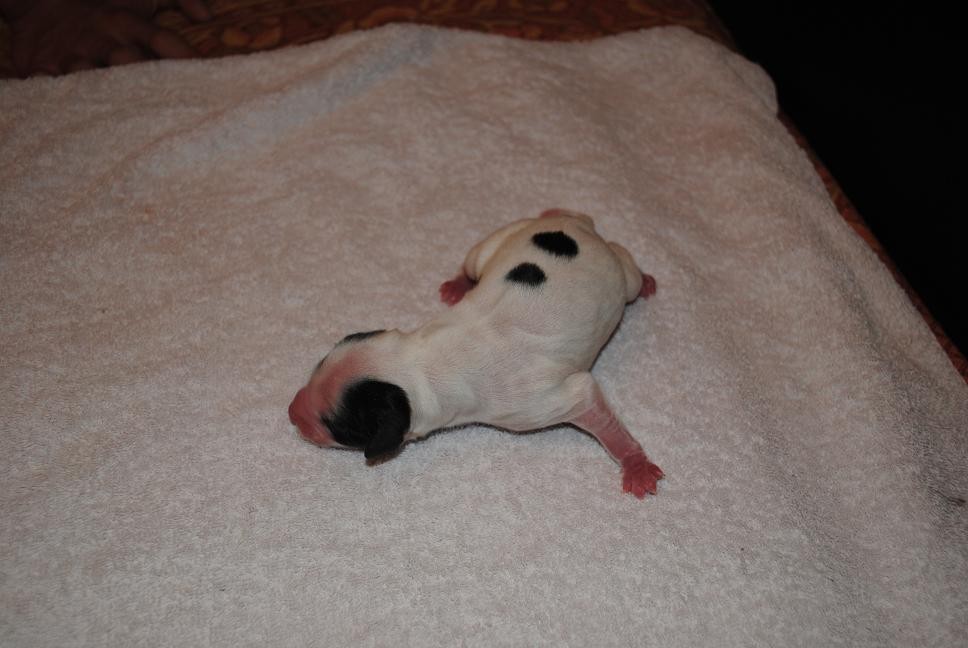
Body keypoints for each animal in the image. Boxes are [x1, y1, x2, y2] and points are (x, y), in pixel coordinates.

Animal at [288, 208, 662, 497]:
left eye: (338, 427)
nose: (291, 412)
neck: (423, 361)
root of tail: (582, 227)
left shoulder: (539, 402)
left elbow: (593, 408)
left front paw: (636, 465)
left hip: (621, 275)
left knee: (627, 266)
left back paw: (645, 279)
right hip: (494, 243)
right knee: (476, 258)